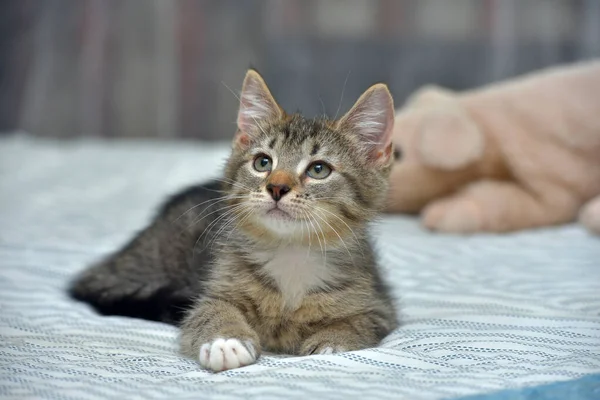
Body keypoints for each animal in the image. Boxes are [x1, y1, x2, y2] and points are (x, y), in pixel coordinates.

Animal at [69, 69, 398, 372]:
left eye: (319, 169)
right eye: (263, 163)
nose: (277, 187)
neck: (291, 252)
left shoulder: (379, 305)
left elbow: (361, 323)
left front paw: (332, 341)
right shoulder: (215, 288)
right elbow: (209, 311)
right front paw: (226, 340)